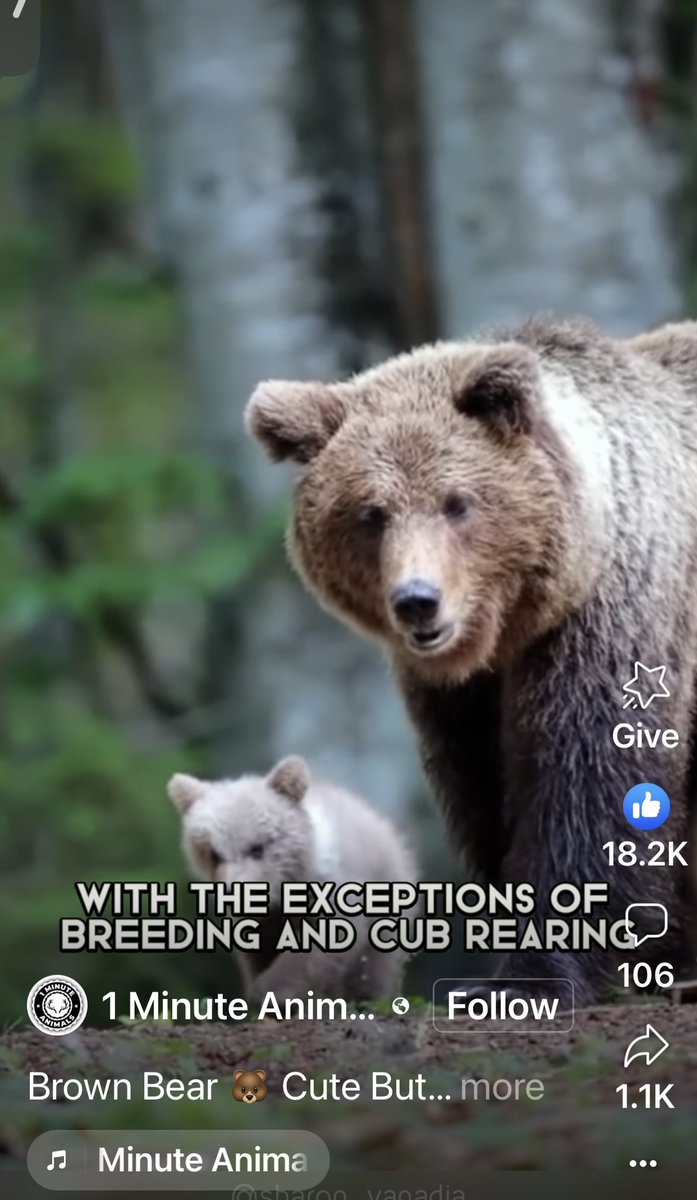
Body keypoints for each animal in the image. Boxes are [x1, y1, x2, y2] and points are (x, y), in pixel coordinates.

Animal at [168, 756, 417, 1004]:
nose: (233, 896)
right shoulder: (262, 923)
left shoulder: (335, 890)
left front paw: (269, 991)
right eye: (214, 854)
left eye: (257, 848)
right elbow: (256, 953)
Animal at [245, 316, 697, 1005]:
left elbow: (587, 770)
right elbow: (483, 787)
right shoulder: (460, 697)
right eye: (370, 514)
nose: (418, 601)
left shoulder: (610, 621)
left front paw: (538, 975)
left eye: (457, 502)